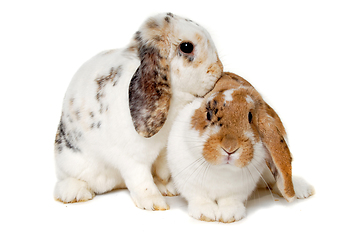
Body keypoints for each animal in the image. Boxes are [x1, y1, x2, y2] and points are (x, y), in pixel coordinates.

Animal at [53, 12, 222, 210]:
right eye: (186, 47)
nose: (219, 69)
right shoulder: (133, 159)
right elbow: (141, 180)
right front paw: (154, 203)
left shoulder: (163, 151)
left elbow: (163, 169)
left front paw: (168, 187)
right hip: (72, 163)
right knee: (66, 181)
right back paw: (75, 192)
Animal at [167, 72, 314, 222]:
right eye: (208, 114)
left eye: (250, 116)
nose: (230, 148)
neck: (221, 171)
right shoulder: (188, 182)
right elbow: (199, 198)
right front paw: (206, 213)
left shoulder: (238, 190)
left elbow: (230, 200)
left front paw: (230, 215)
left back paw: (301, 190)